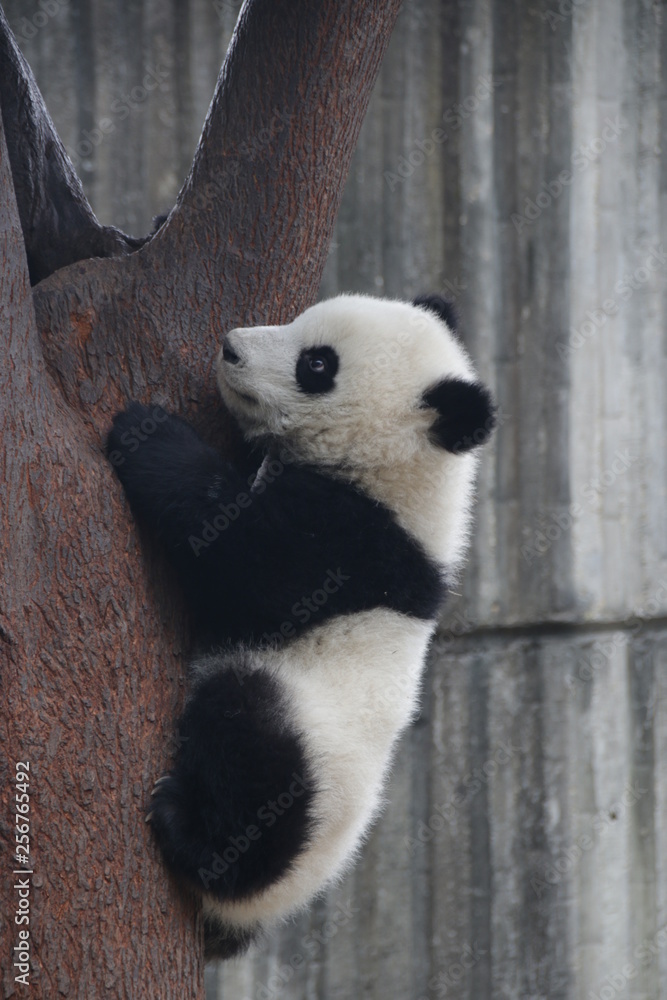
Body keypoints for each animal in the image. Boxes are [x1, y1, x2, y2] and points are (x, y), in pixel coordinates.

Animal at [107, 292, 495, 959]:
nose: (230, 346)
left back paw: (193, 836)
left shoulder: (350, 544)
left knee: (251, 747)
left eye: (318, 364)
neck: (405, 473)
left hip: (308, 748)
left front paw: (145, 431)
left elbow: (240, 555)